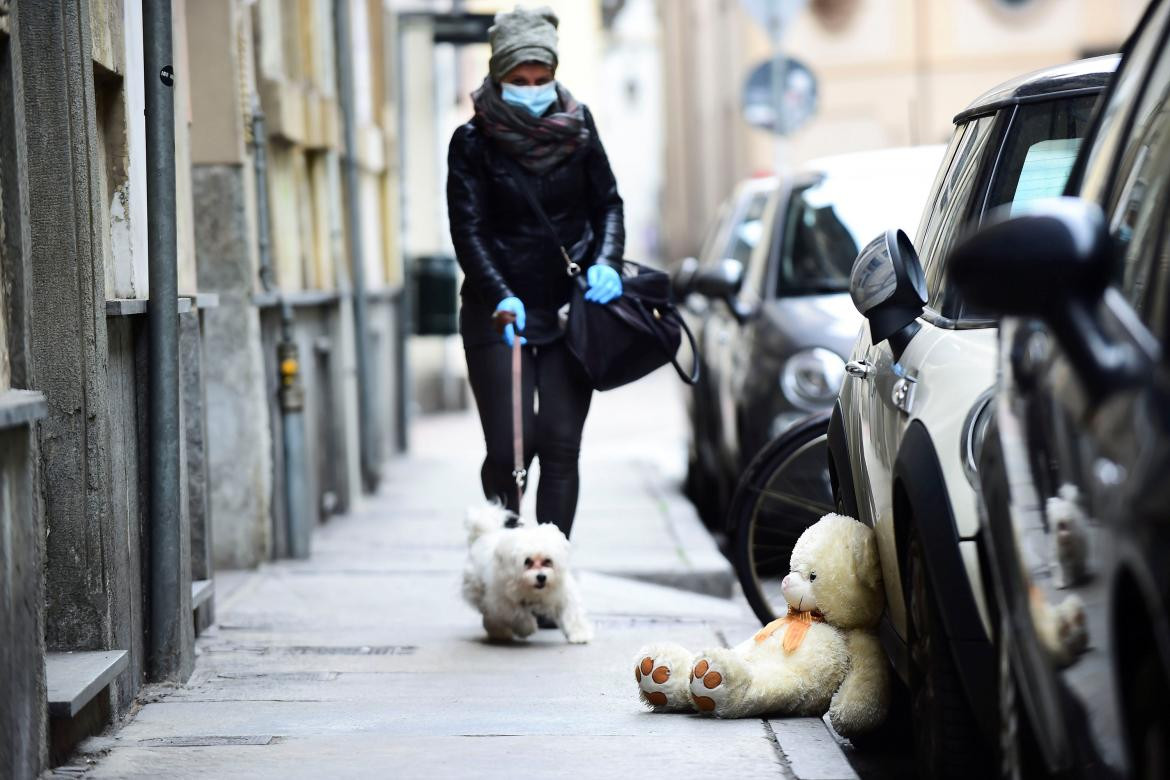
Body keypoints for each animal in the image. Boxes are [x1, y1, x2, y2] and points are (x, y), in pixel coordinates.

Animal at [460, 502, 594, 645]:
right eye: (527, 561)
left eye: (547, 561)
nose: (541, 577)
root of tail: (484, 534)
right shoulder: (502, 601)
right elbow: (517, 614)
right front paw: (527, 628)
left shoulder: (563, 593)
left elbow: (572, 613)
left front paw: (580, 634)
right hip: (478, 590)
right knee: (491, 616)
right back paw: (500, 633)